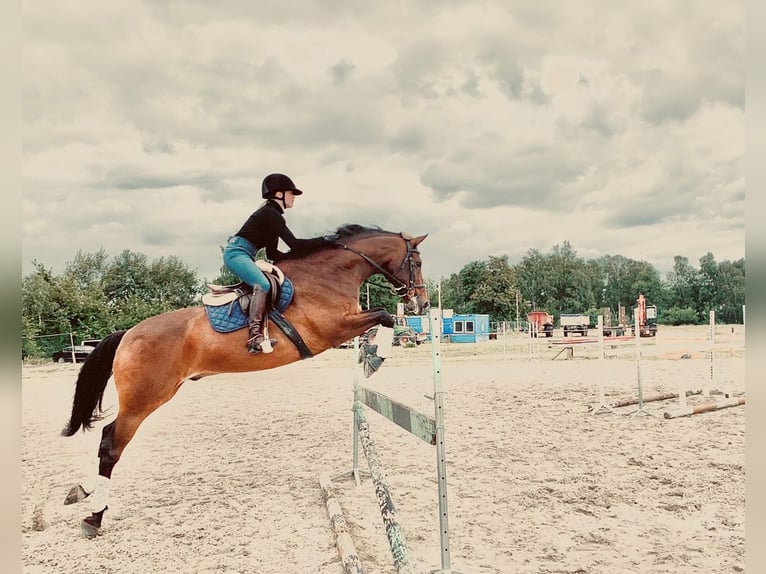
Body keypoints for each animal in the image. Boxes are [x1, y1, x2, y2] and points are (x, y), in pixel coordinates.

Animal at [60, 225, 432, 540]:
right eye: (416, 262)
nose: (423, 303)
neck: (330, 275)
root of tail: (127, 335)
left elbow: (383, 319)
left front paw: (371, 356)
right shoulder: (334, 329)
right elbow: (385, 315)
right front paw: (376, 358)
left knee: (109, 440)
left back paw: (83, 492)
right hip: (144, 399)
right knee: (111, 444)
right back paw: (94, 516)